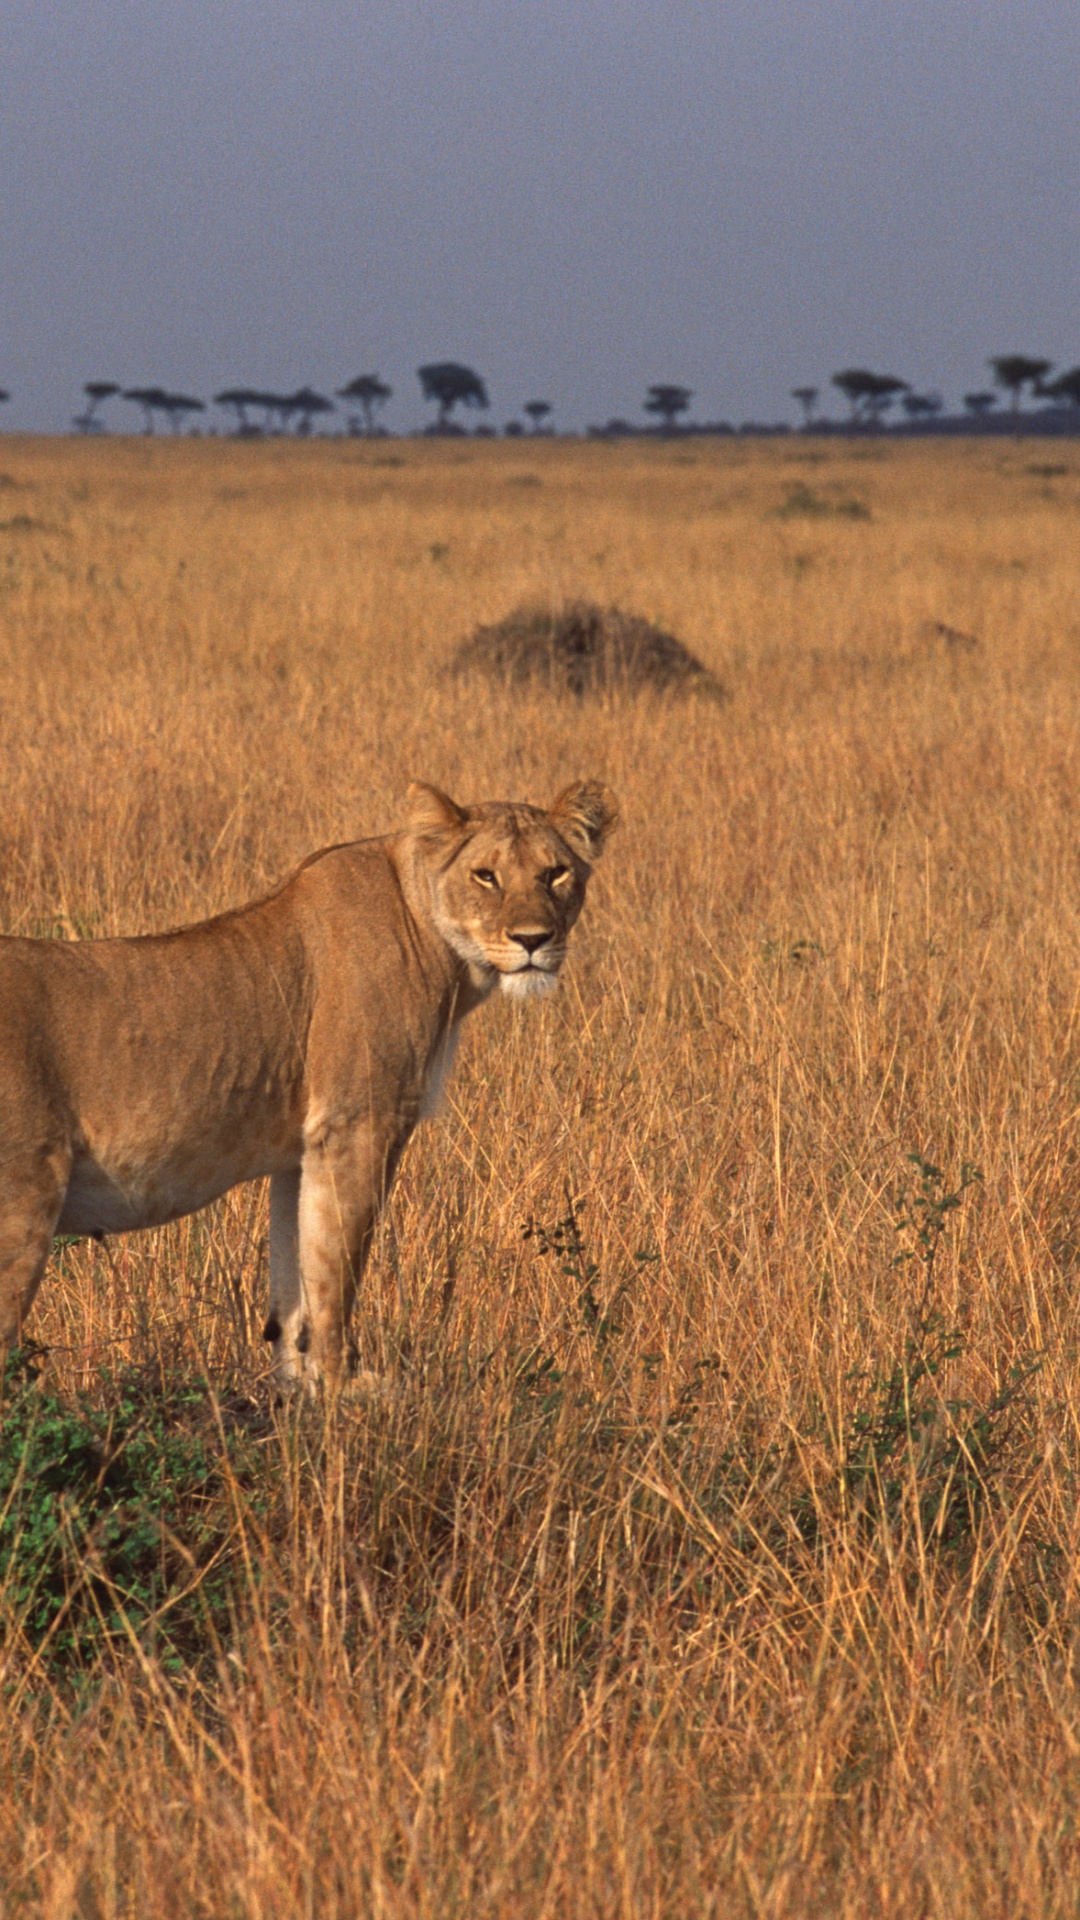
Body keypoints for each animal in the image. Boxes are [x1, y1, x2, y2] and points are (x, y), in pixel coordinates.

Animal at [0, 778, 617, 1385]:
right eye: (485, 875)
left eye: (556, 873)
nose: (534, 940)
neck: (436, 938)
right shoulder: (358, 1124)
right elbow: (334, 1279)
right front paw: (344, 1391)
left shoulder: (299, 1154)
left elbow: (292, 1291)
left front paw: (298, 1393)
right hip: (25, 1198)